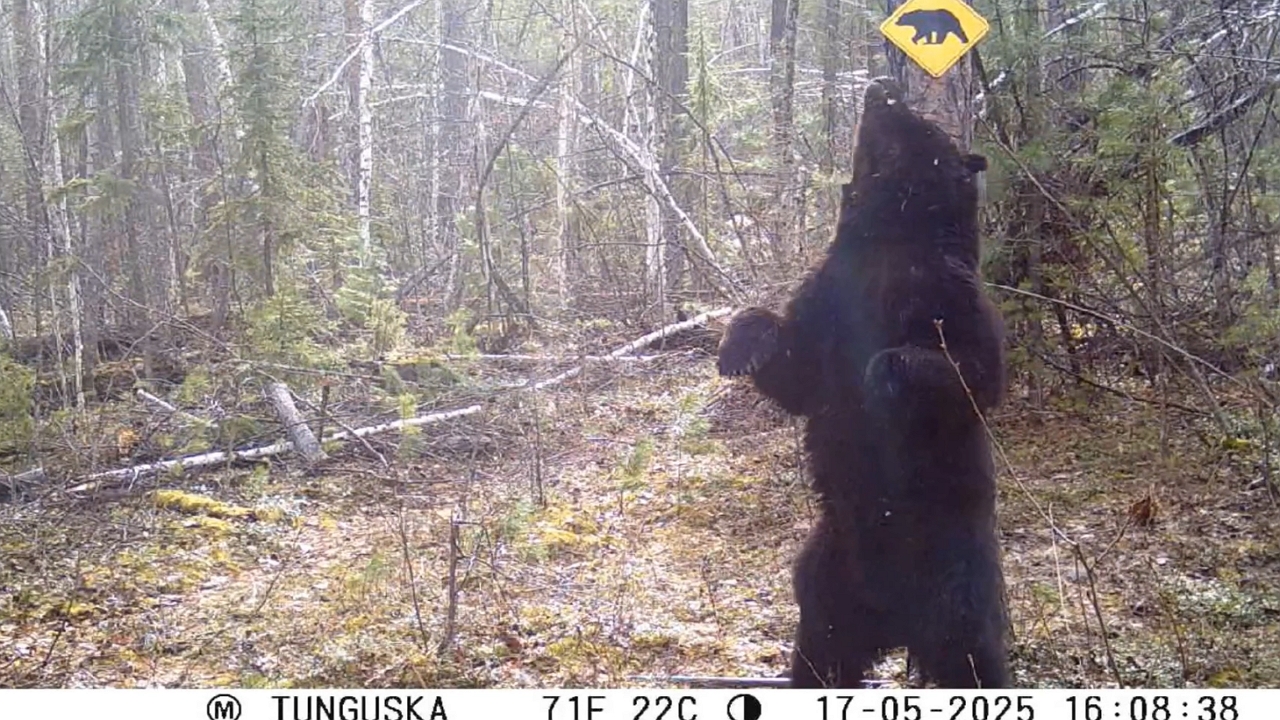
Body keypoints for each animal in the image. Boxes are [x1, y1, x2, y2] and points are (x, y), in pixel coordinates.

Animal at [717, 77, 1009, 689]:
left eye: (918, 118)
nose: (882, 84)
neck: (886, 239)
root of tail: (894, 624)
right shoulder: (828, 292)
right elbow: (797, 369)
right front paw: (737, 348)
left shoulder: (949, 295)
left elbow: (972, 370)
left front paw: (882, 380)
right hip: (825, 578)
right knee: (818, 653)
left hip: (958, 581)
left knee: (976, 658)